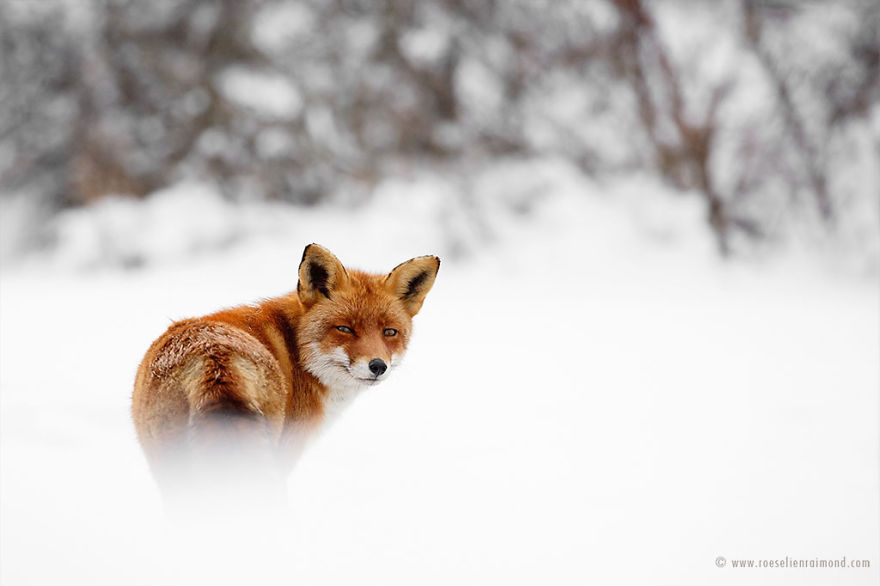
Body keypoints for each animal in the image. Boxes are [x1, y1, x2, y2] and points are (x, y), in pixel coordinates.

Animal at [131, 244, 439, 507]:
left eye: (389, 332)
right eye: (345, 329)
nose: (377, 366)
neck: (297, 352)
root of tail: (214, 357)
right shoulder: (286, 452)